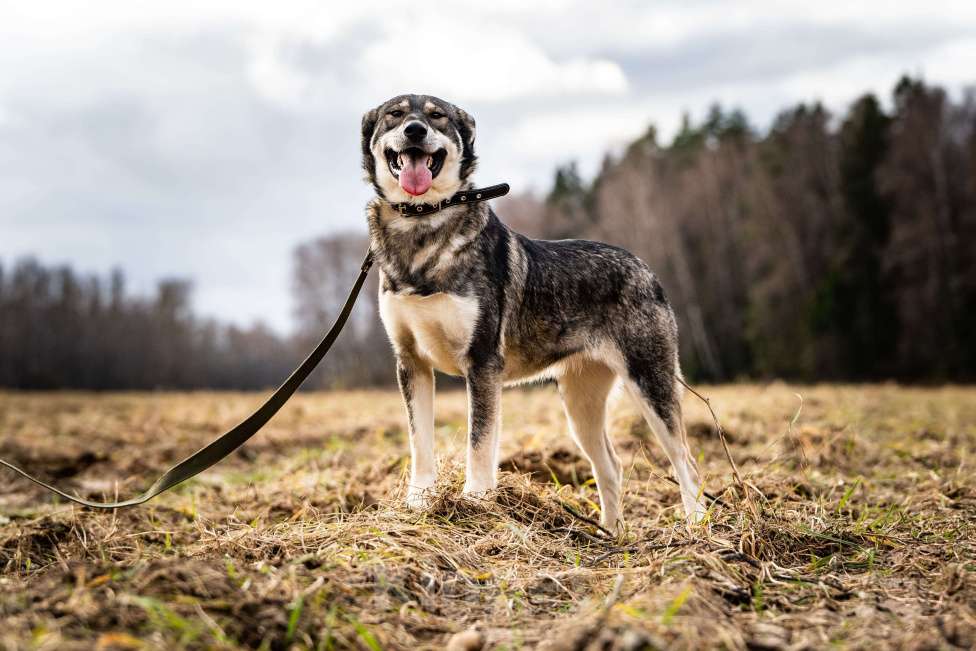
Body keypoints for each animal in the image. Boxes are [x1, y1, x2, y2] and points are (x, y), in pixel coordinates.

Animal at [362, 94, 704, 528]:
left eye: (436, 116)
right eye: (396, 114)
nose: (415, 131)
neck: (422, 226)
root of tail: (645, 267)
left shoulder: (482, 363)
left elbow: (479, 441)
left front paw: (475, 502)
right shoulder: (411, 363)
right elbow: (419, 442)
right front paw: (419, 504)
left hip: (650, 383)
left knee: (686, 462)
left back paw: (696, 528)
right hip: (580, 404)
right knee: (610, 466)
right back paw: (612, 535)